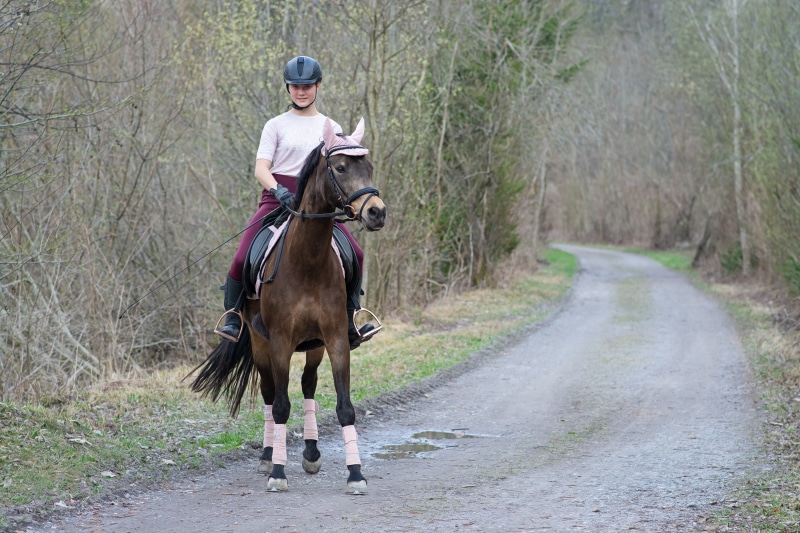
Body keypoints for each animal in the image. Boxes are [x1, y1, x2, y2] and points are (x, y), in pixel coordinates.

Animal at [188, 118, 386, 494]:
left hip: (314, 345)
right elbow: (280, 406)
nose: (377, 212)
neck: (308, 260)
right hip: (259, 341)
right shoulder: (279, 341)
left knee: (308, 384)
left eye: (369, 167)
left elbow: (345, 407)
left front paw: (355, 474)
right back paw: (268, 456)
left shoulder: (336, 339)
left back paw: (310, 452)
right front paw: (278, 472)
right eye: (340, 167)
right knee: (269, 394)